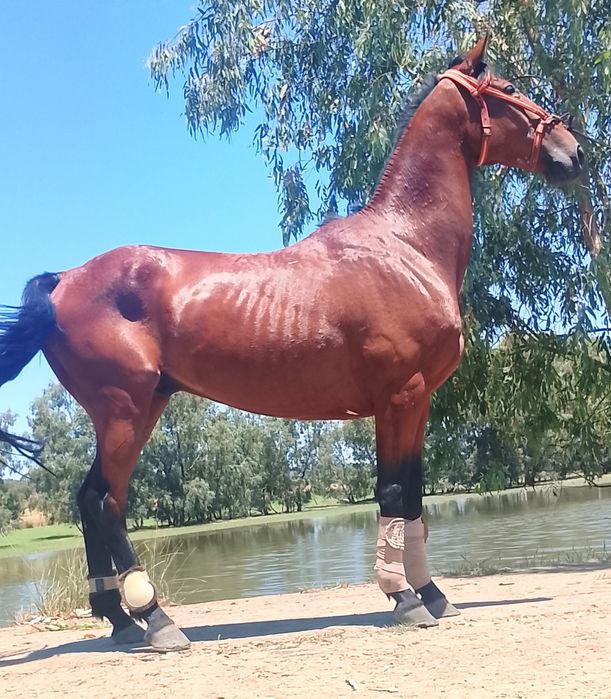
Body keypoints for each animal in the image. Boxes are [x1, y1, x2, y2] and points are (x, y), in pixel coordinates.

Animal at [0, 36, 583, 651]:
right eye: (511, 88)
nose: (576, 152)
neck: (403, 245)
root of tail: (64, 279)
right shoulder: (399, 397)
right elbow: (393, 492)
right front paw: (404, 598)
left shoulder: (417, 402)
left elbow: (414, 494)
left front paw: (432, 593)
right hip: (124, 411)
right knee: (106, 503)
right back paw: (155, 620)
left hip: (140, 406)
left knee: (89, 500)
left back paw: (120, 621)